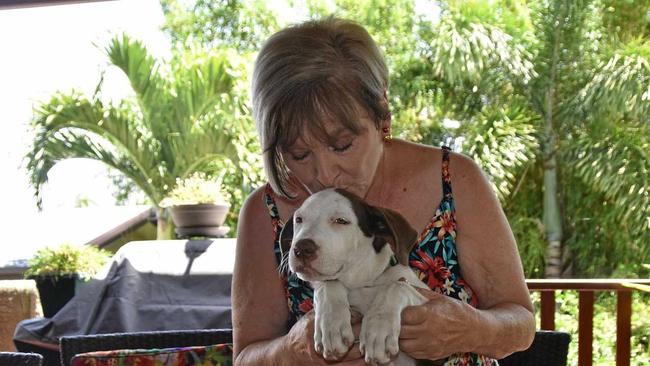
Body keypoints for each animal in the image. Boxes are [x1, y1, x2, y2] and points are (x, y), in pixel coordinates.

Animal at [280, 189, 428, 366]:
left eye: (341, 221)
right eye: (299, 220)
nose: (301, 249)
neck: (361, 282)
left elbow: (397, 286)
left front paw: (378, 329)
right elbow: (328, 283)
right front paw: (331, 324)